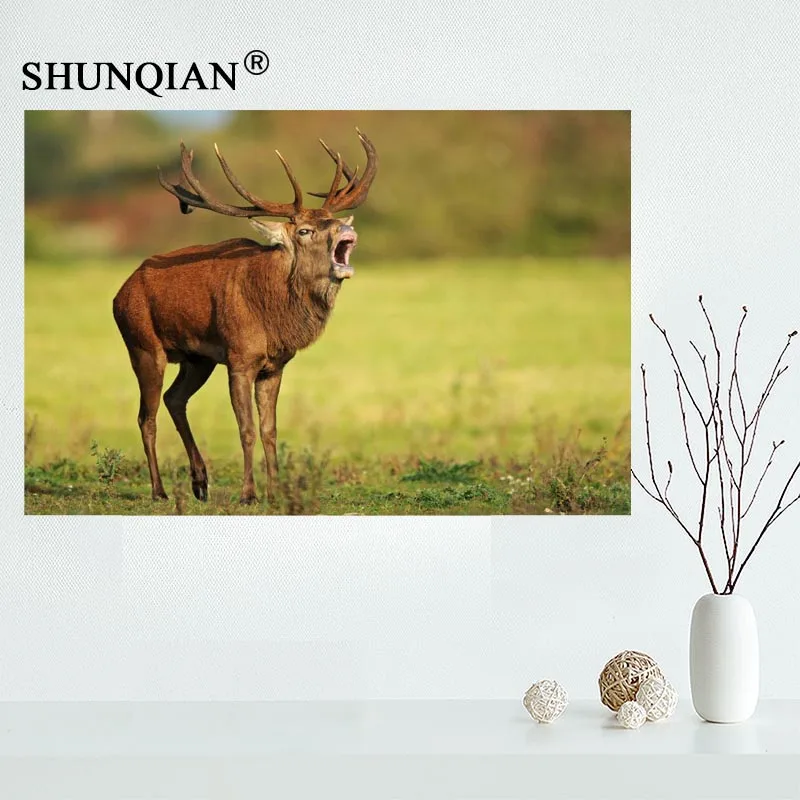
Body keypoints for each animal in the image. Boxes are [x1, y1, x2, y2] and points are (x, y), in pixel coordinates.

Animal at [112, 130, 377, 505]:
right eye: (304, 231)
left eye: (334, 221)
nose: (344, 228)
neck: (273, 319)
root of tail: (121, 291)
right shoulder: (240, 358)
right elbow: (246, 428)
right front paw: (248, 494)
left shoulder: (274, 366)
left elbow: (270, 429)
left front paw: (275, 491)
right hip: (142, 344)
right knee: (145, 417)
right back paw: (160, 491)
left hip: (198, 358)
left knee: (174, 399)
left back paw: (200, 481)